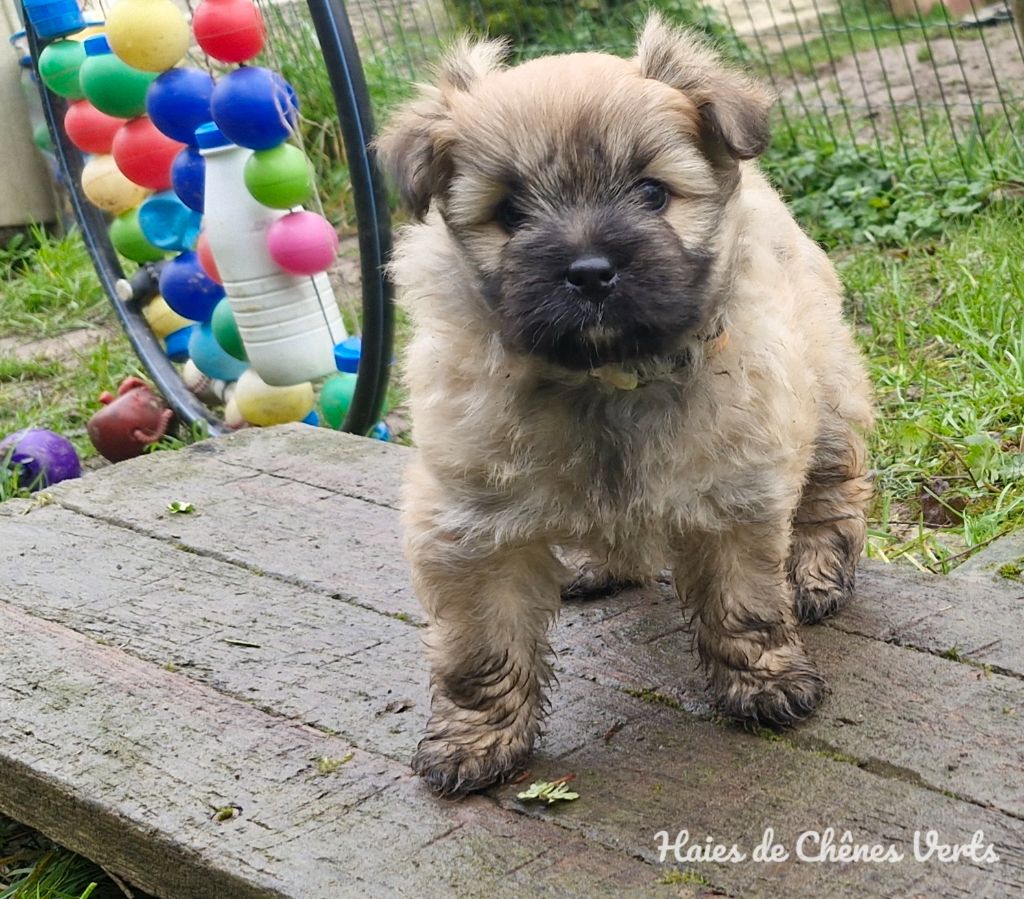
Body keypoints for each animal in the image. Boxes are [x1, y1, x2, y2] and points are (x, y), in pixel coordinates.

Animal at [376, 15, 872, 802]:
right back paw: (599, 565)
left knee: (832, 493)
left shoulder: (733, 488)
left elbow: (744, 601)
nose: (589, 272)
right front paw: (476, 740)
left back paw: (817, 573)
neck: (605, 379)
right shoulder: (471, 528)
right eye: (509, 212)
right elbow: (482, 649)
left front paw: (764, 683)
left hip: (822, 398)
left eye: (652, 193)